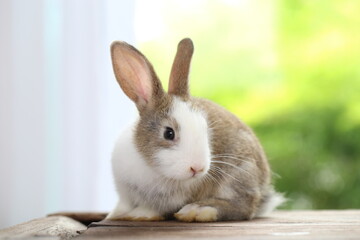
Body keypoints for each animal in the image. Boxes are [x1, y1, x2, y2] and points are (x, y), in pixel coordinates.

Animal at [107, 38, 284, 222]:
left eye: (205, 128)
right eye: (168, 133)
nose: (197, 168)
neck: (150, 165)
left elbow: (154, 209)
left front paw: (138, 214)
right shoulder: (125, 194)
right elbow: (123, 205)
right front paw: (115, 215)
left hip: (240, 173)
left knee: (244, 207)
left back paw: (198, 210)